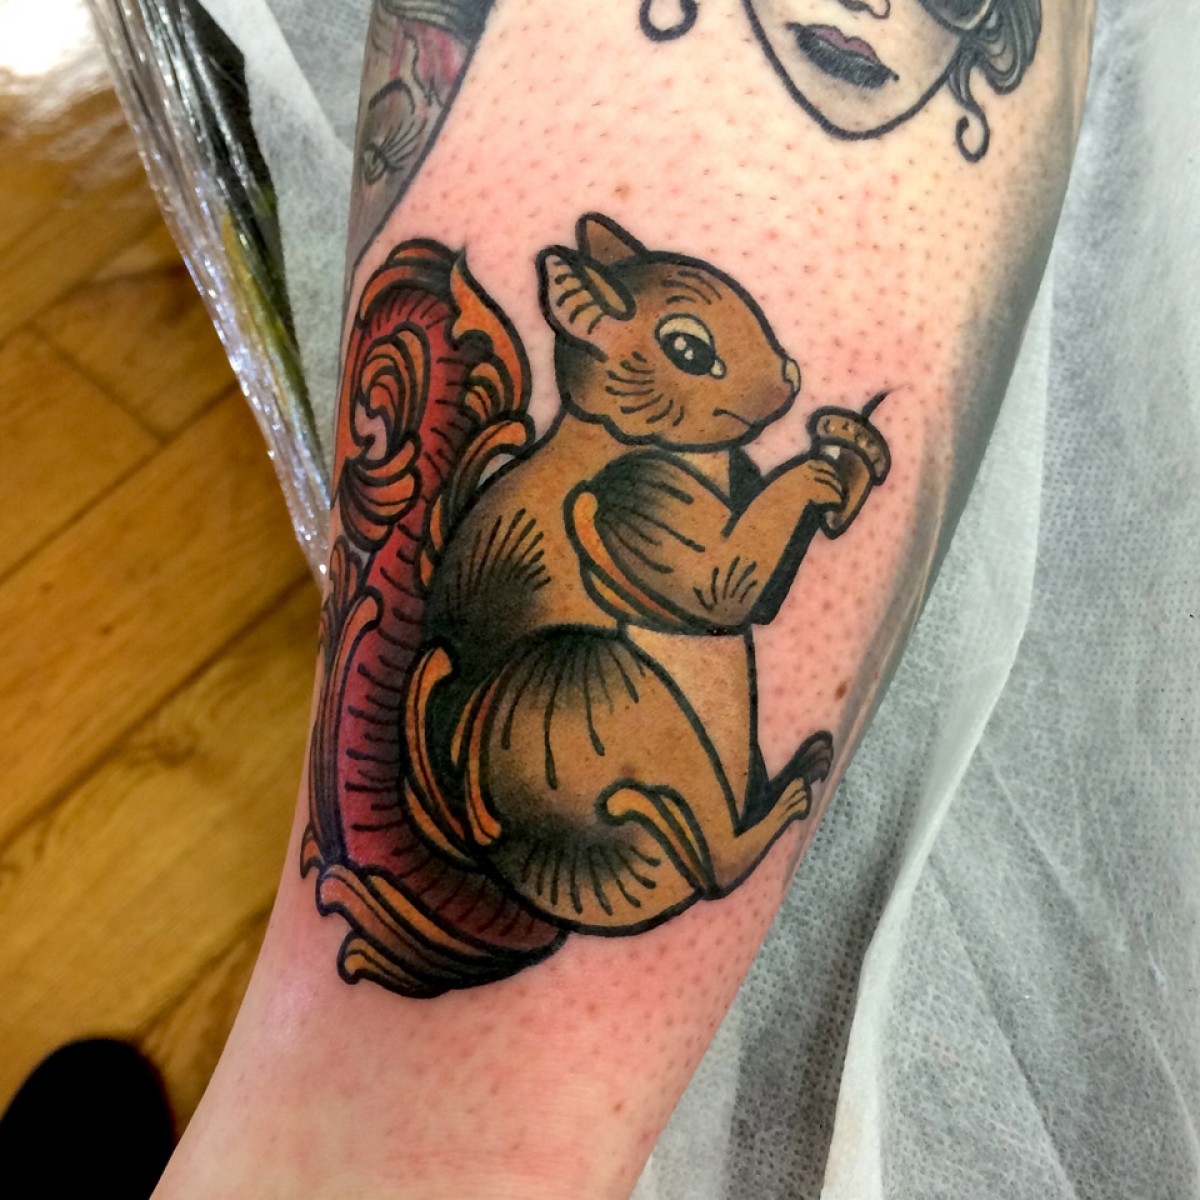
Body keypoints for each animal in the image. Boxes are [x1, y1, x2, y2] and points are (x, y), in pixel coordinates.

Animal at [303, 213, 889, 998]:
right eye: (687, 348)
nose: (792, 376)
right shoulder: (630, 506)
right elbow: (724, 583)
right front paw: (818, 472)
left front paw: (856, 454)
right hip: (584, 697)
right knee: (716, 863)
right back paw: (780, 807)